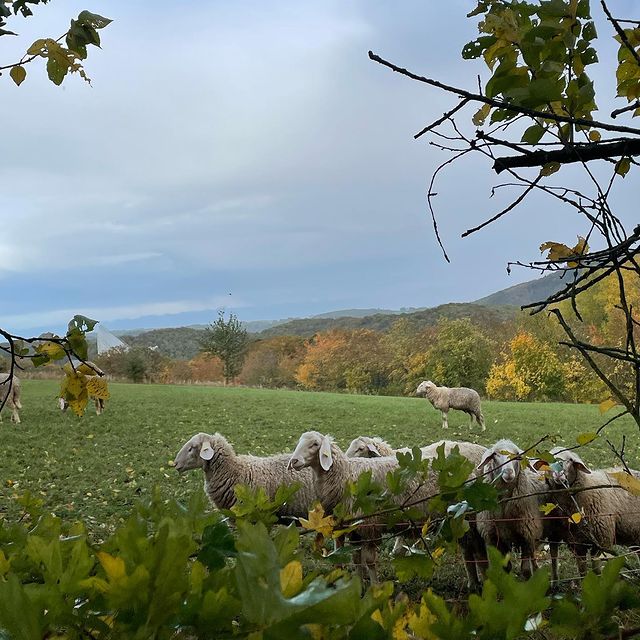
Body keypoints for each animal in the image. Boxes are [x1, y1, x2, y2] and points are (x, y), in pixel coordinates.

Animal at [476, 438, 544, 576]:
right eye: (495, 454)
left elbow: (526, 570)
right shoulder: (494, 538)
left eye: (517, 455)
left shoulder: (527, 535)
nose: (508, 473)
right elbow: (505, 568)